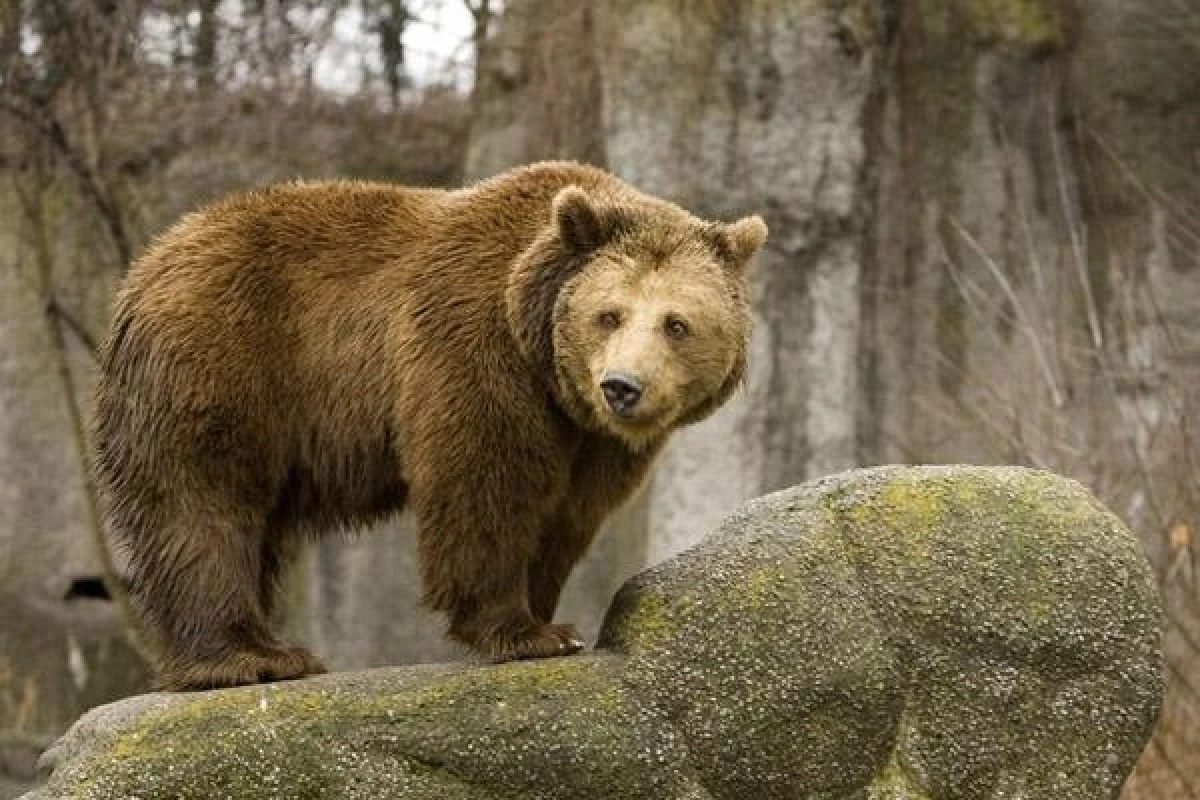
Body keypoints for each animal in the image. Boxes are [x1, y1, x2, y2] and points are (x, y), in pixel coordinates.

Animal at [92, 160, 767, 691]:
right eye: (610, 314)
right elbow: (484, 481)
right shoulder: (473, 346)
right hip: (219, 358)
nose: (622, 386)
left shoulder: (590, 438)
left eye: (676, 323)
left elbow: (566, 513)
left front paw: (547, 614)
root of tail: (147, 264)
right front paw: (524, 631)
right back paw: (250, 656)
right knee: (202, 502)